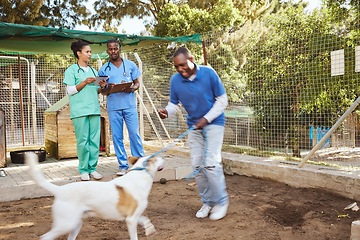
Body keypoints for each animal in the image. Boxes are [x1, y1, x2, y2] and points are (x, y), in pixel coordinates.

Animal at [25, 154, 165, 240]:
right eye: (156, 158)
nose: (163, 156)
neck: (140, 175)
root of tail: (60, 190)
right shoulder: (131, 220)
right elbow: (134, 236)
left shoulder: (133, 217)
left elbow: (145, 219)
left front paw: (150, 230)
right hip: (66, 224)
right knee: (45, 237)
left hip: (75, 224)